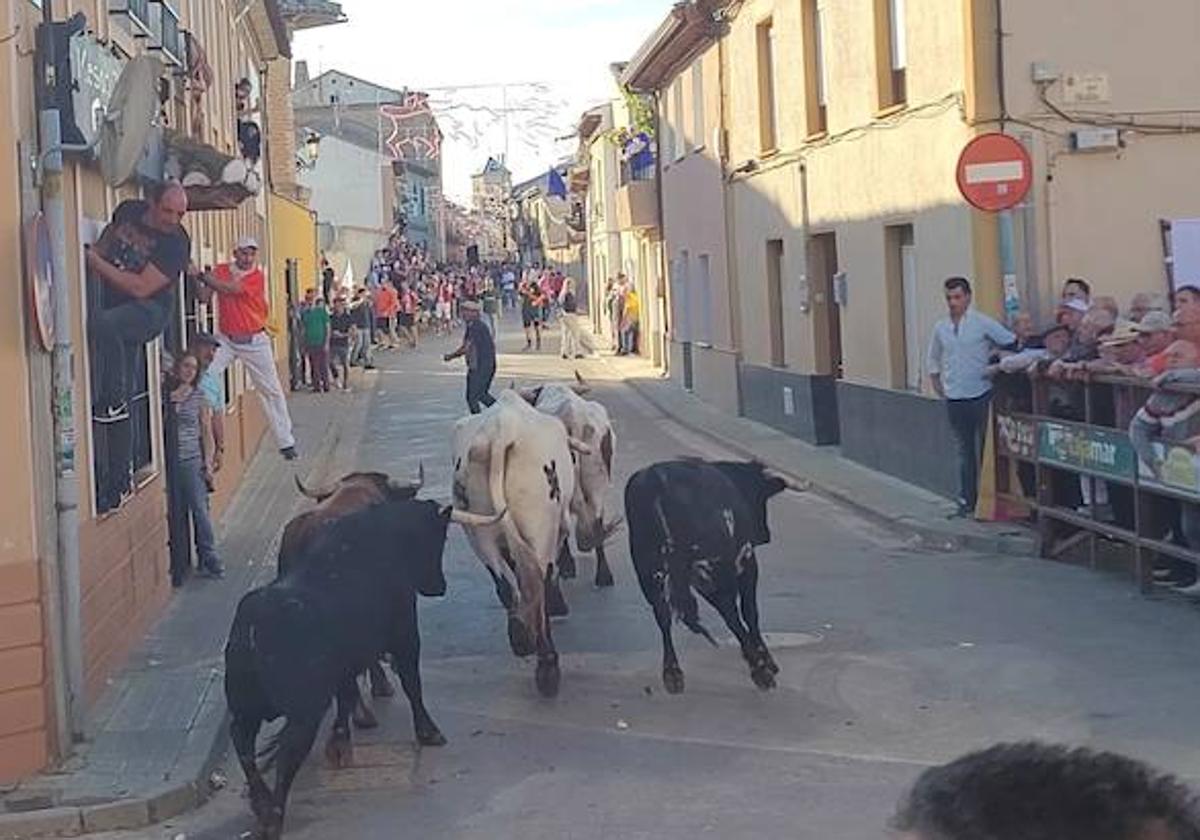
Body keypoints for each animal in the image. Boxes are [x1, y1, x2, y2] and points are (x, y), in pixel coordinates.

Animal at [224, 501, 451, 835]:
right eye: (440, 538)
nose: (439, 587)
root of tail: (254, 628)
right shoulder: (405, 632)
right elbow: (412, 683)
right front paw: (430, 732)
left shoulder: (345, 663)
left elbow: (346, 696)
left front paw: (340, 744)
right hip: (303, 712)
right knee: (287, 754)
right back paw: (273, 818)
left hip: (245, 709)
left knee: (242, 743)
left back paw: (262, 803)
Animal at [451, 391, 580, 700]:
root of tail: (500, 431)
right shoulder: (559, 525)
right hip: (540, 525)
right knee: (538, 583)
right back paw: (547, 665)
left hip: (477, 531)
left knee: (505, 585)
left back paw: (520, 637)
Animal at [624, 463, 801, 691]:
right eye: (761, 497)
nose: (765, 535)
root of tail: (656, 476)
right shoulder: (745, 562)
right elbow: (748, 613)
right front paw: (763, 659)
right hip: (706, 568)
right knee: (731, 615)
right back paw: (760, 671)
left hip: (647, 567)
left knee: (662, 615)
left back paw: (672, 672)